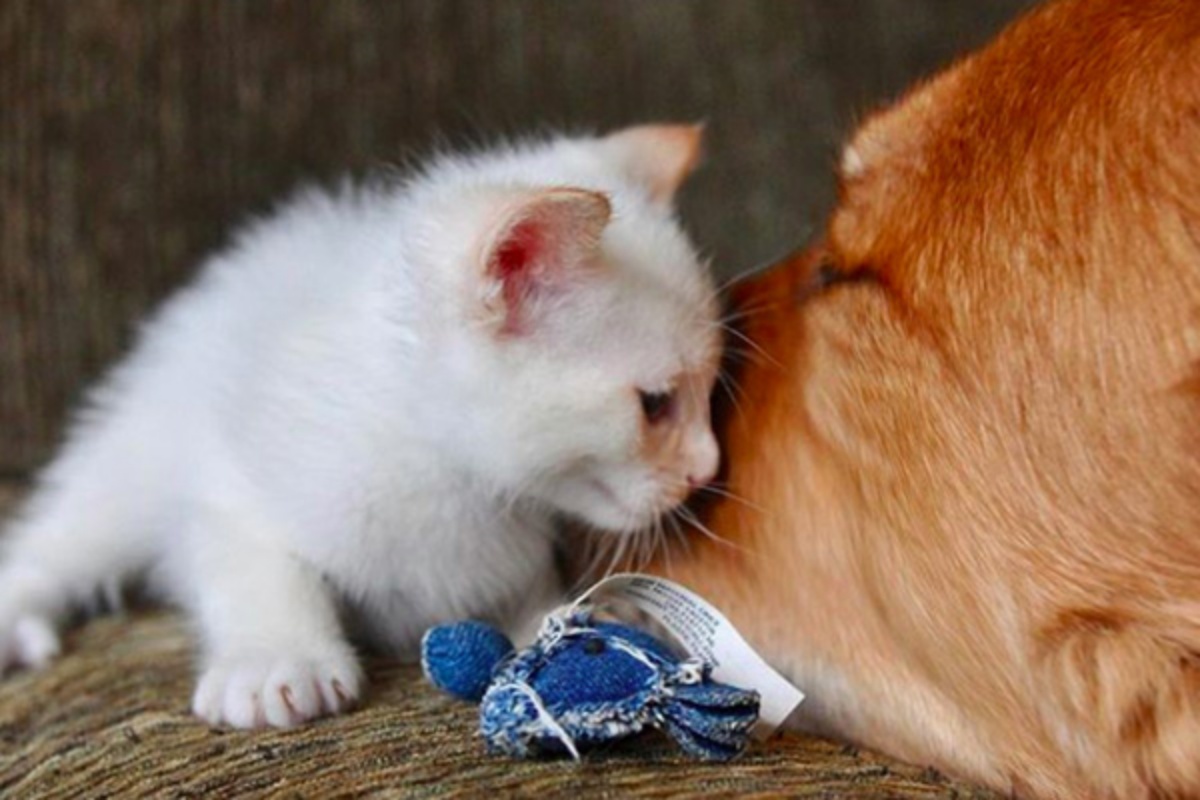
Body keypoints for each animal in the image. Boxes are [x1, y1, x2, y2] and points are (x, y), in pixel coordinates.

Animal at [0, 125, 715, 734]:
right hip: (132, 456)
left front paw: (591, 622)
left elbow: (533, 603)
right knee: (60, 541)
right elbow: (259, 567)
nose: (706, 469)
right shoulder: (234, 487)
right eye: (655, 405)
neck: (448, 475)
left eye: (707, 393)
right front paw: (278, 662)